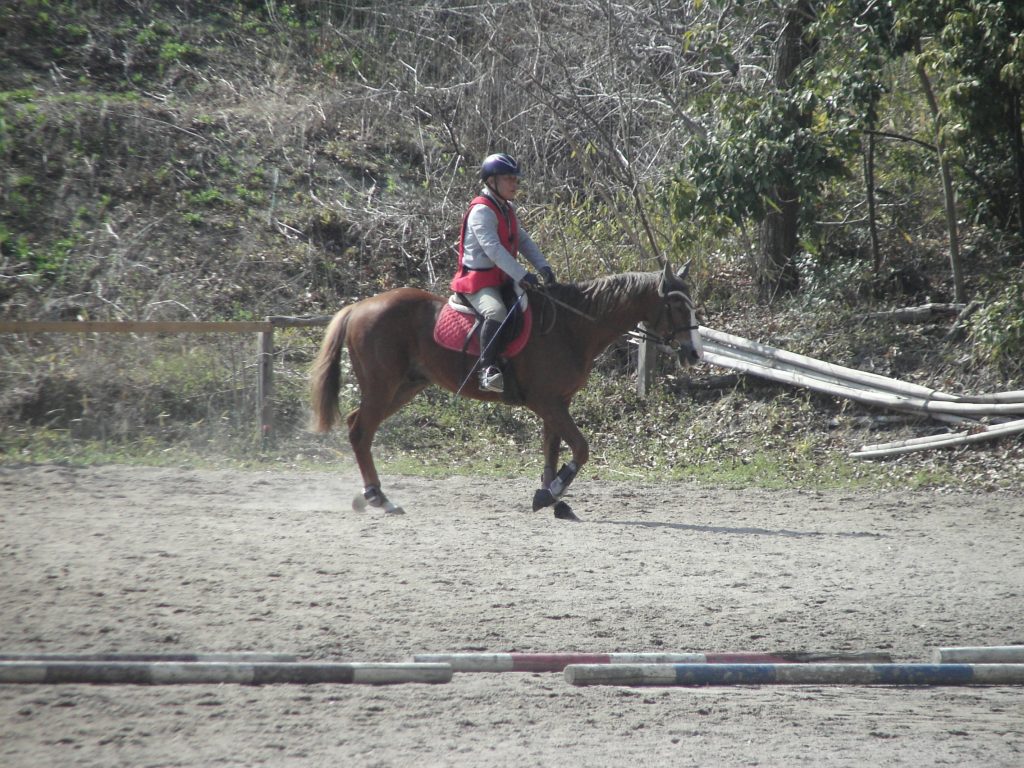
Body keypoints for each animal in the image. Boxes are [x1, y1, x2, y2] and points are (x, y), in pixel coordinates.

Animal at [309, 260, 703, 520]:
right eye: (676, 305)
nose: (695, 354)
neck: (572, 326)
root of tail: (359, 306)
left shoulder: (556, 403)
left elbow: (552, 450)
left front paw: (551, 497)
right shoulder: (548, 403)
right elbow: (581, 448)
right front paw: (551, 494)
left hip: (404, 388)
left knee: (359, 426)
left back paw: (369, 497)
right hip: (383, 386)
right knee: (361, 431)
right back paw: (379, 498)